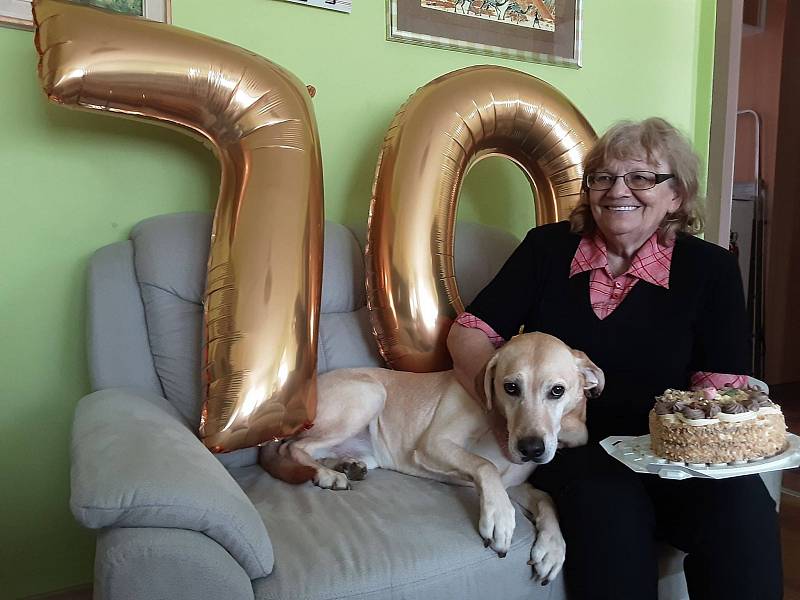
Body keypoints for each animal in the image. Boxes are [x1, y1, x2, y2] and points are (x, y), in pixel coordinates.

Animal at [260, 330, 604, 584]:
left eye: (557, 391)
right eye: (510, 387)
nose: (531, 449)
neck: (501, 426)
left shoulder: (515, 484)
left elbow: (546, 498)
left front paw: (553, 548)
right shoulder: (433, 444)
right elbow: (485, 465)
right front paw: (499, 517)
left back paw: (346, 466)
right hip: (369, 394)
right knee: (293, 448)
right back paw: (327, 474)